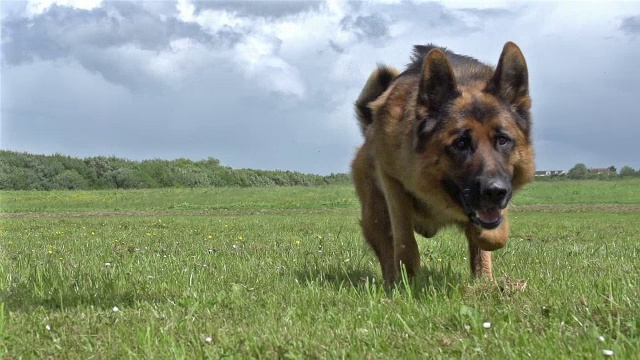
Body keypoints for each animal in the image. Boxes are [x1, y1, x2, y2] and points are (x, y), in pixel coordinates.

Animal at [350, 42, 536, 284]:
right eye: (460, 143)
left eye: (503, 140)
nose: (495, 192)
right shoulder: (391, 180)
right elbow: (405, 242)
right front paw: (407, 282)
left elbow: (494, 237)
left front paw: (483, 237)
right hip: (375, 215)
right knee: (387, 248)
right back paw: (392, 282)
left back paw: (485, 282)